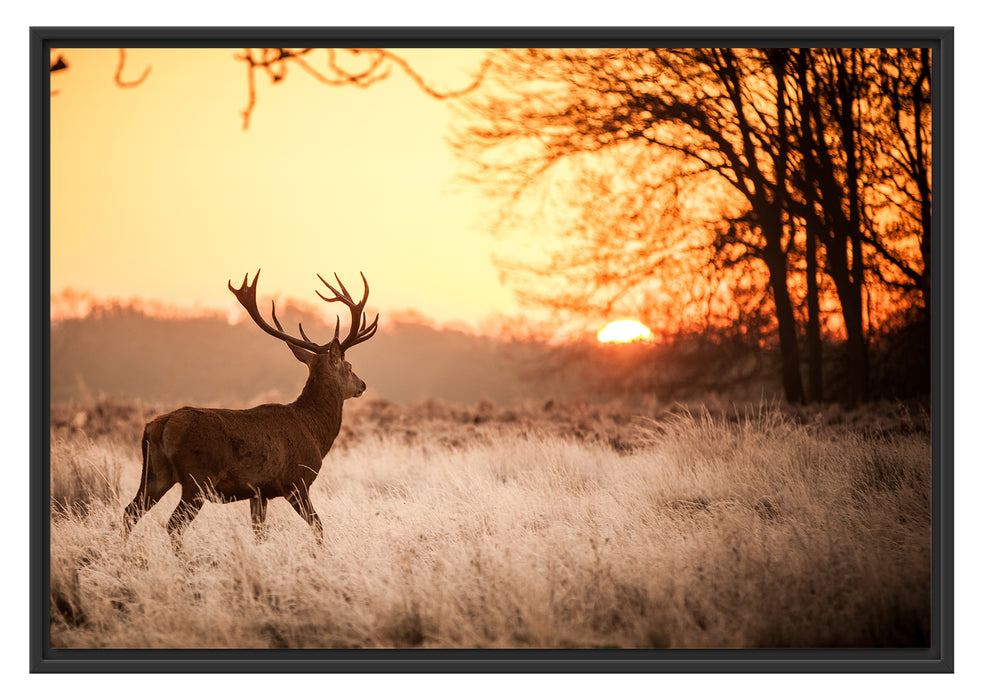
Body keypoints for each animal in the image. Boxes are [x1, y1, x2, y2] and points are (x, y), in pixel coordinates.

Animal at [122, 269, 378, 546]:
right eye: (349, 367)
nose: (362, 385)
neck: (314, 430)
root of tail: (159, 426)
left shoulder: (259, 492)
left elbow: (259, 533)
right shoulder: (296, 481)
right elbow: (318, 526)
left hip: (155, 473)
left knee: (130, 511)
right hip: (197, 479)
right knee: (173, 524)